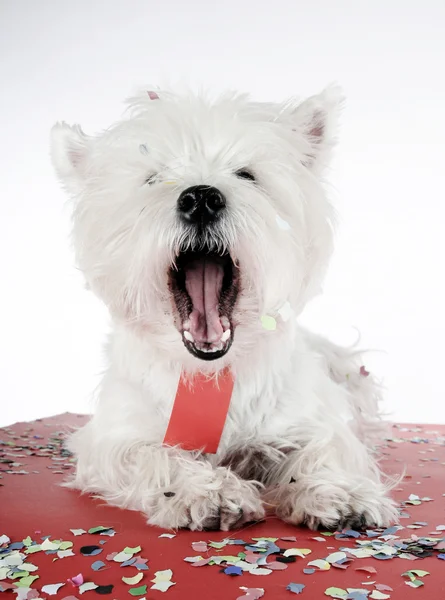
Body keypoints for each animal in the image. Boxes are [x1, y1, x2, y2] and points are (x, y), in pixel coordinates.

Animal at [50, 84, 398, 528]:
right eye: (151, 179)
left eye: (247, 175)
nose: (200, 198)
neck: (210, 376)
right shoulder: (116, 437)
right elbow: (157, 456)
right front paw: (209, 492)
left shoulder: (308, 420)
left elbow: (322, 449)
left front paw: (340, 493)